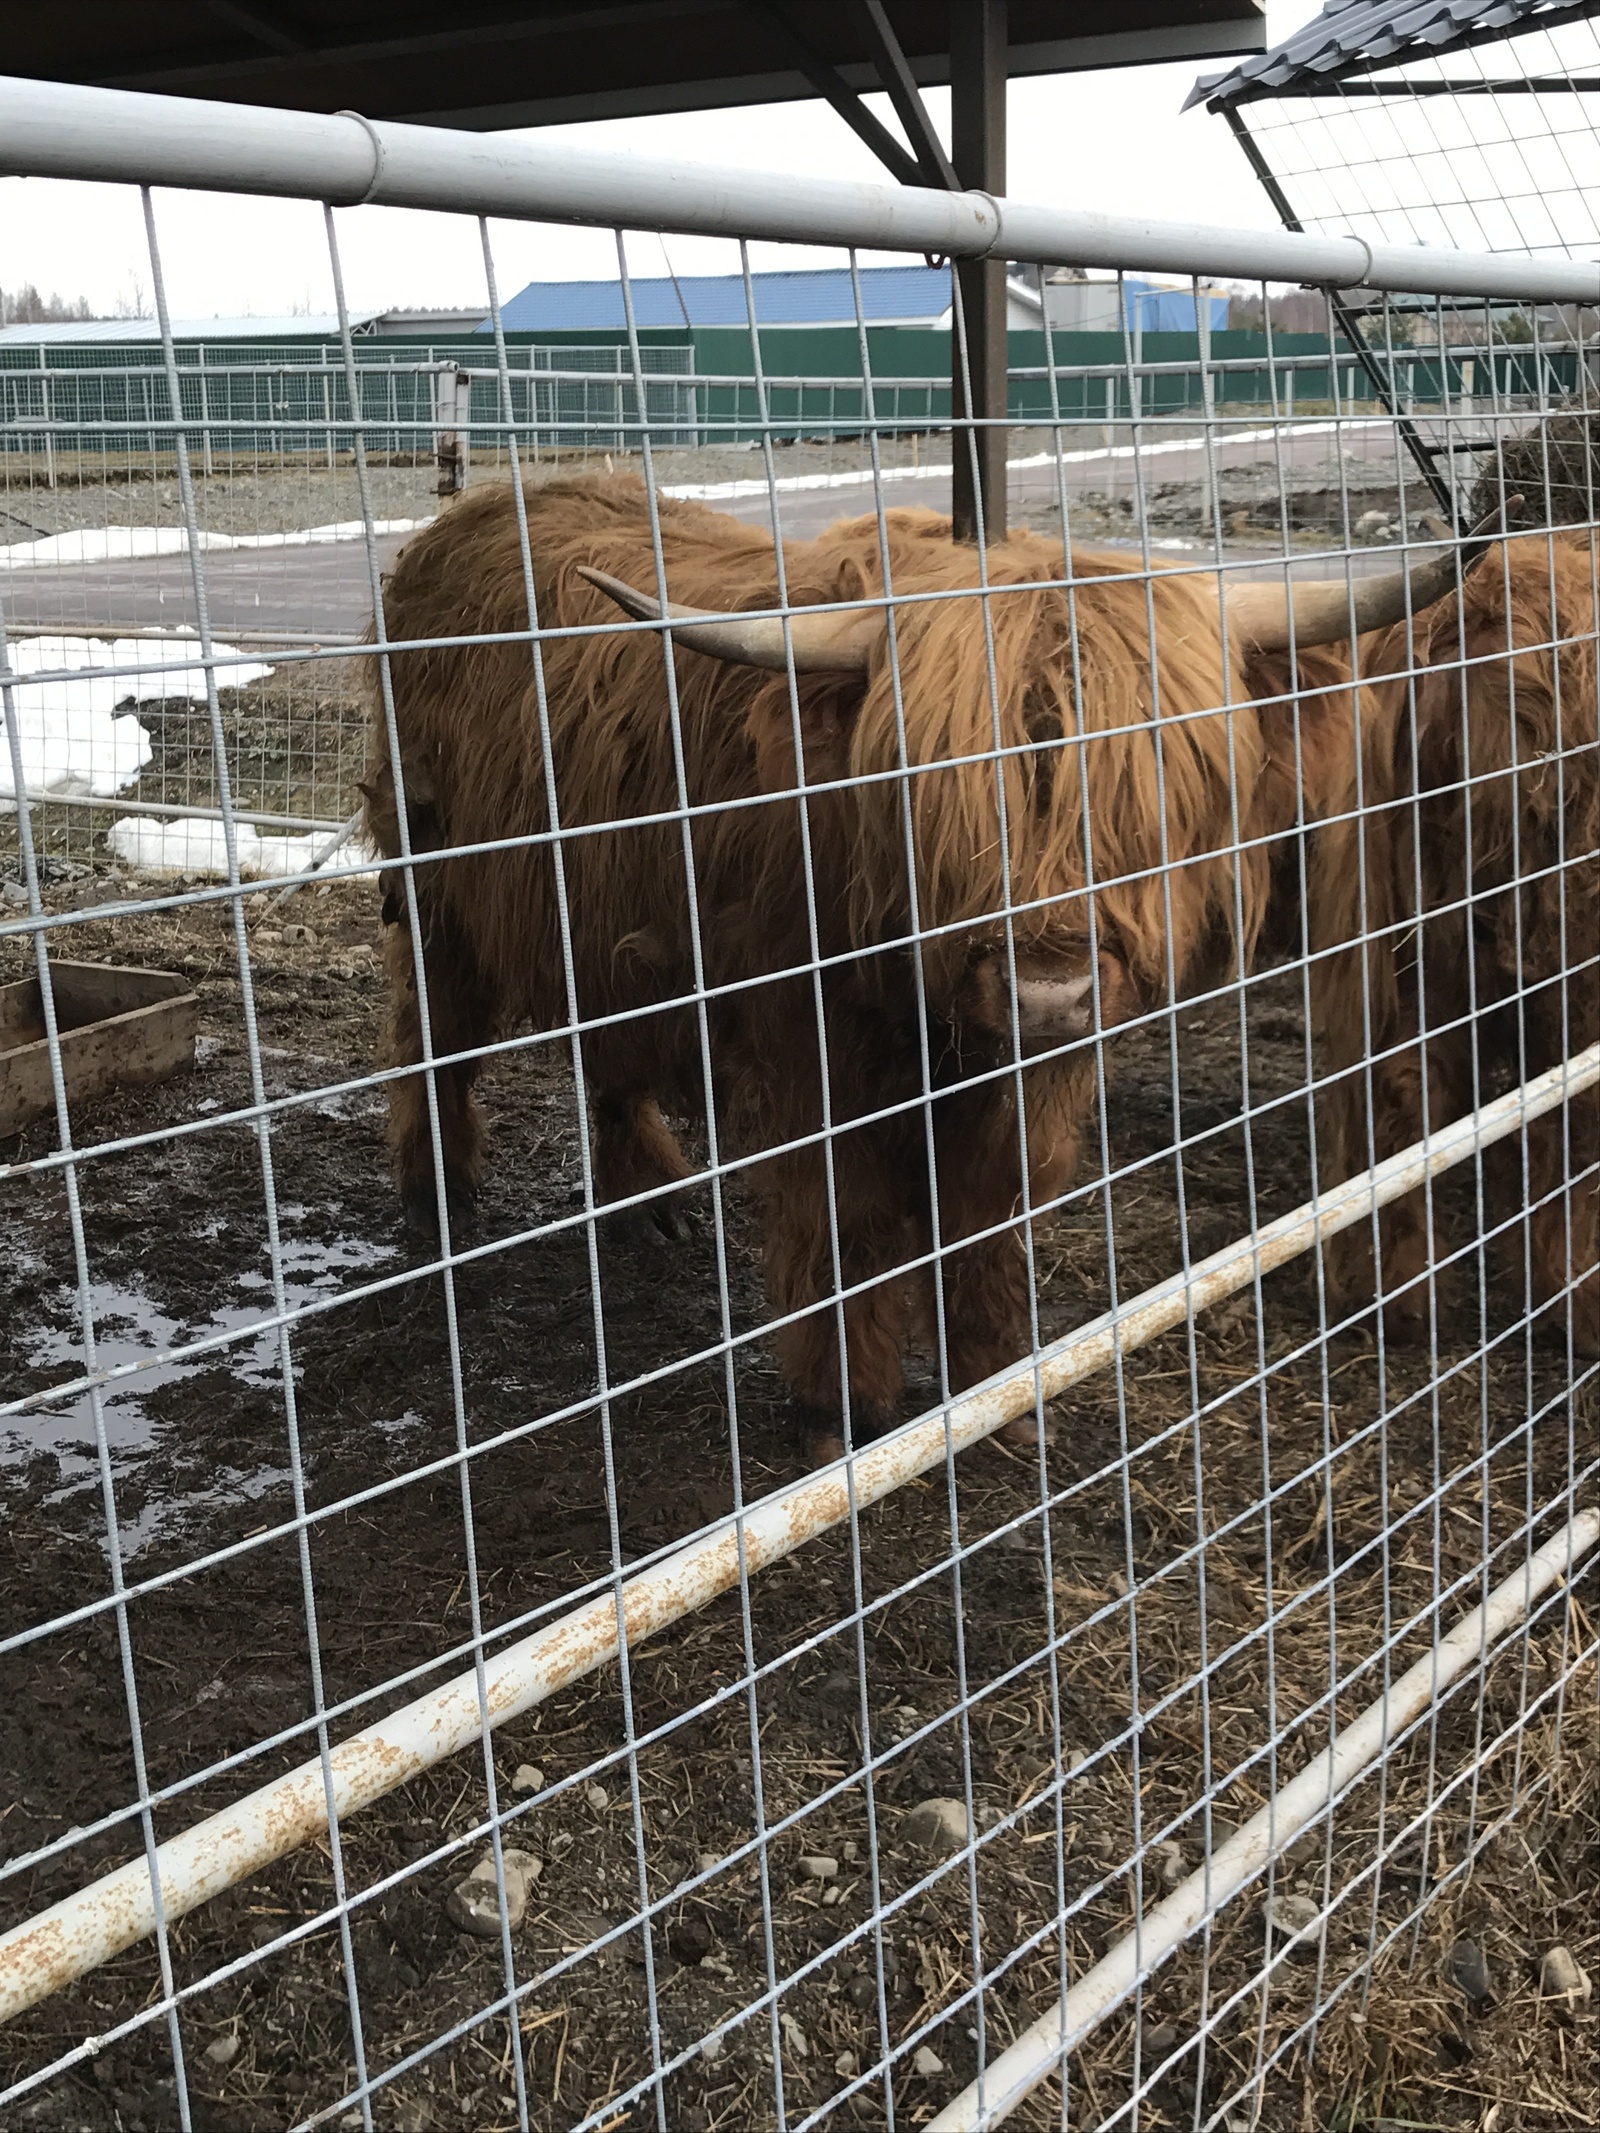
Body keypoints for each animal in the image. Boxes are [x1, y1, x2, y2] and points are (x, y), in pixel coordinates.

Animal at [360, 475, 1476, 1458]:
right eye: (934, 793)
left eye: (1147, 780)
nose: (1049, 992)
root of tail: (477, 513)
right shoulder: (811, 1062)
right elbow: (845, 1232)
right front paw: (840, 1413)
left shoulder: (1023, 1091)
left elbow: (986, 1221)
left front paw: (998, 1398)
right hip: (436, 890)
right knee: (431, 1031)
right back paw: (436, 1195)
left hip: (598, 920)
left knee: (611, 1051)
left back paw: (656, 1202)